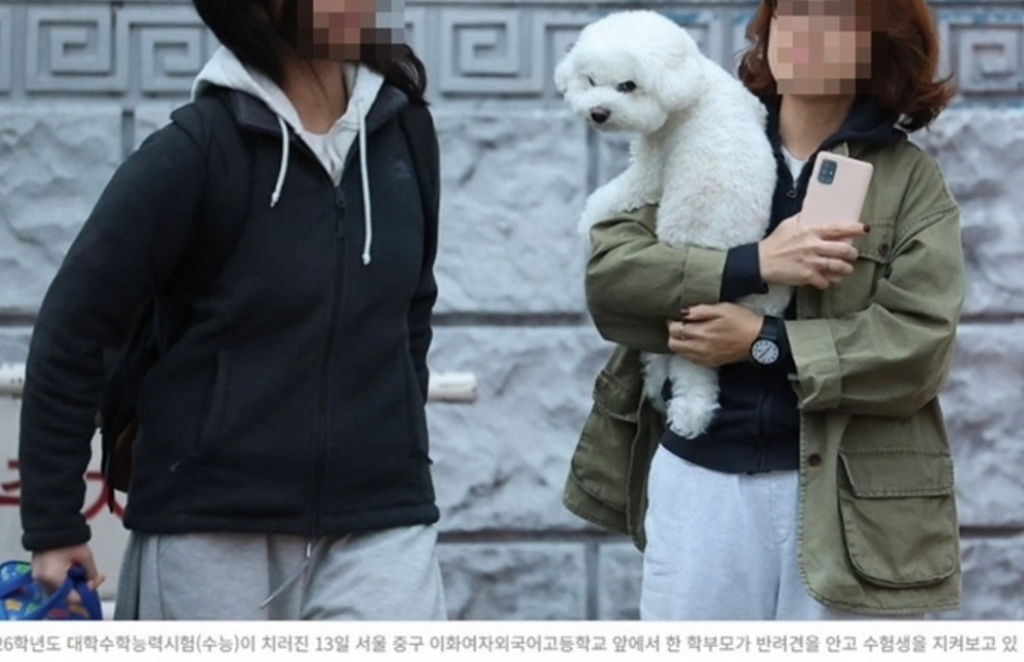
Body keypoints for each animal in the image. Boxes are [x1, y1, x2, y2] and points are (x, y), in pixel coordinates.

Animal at [556, 10, 791, 438]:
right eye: (591, 81)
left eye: (628, 86)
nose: (598, 113)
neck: (693, 85)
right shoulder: (750, 104)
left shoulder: (655, 154)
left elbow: (630, 186)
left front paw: (590, 216)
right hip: (763, 299)